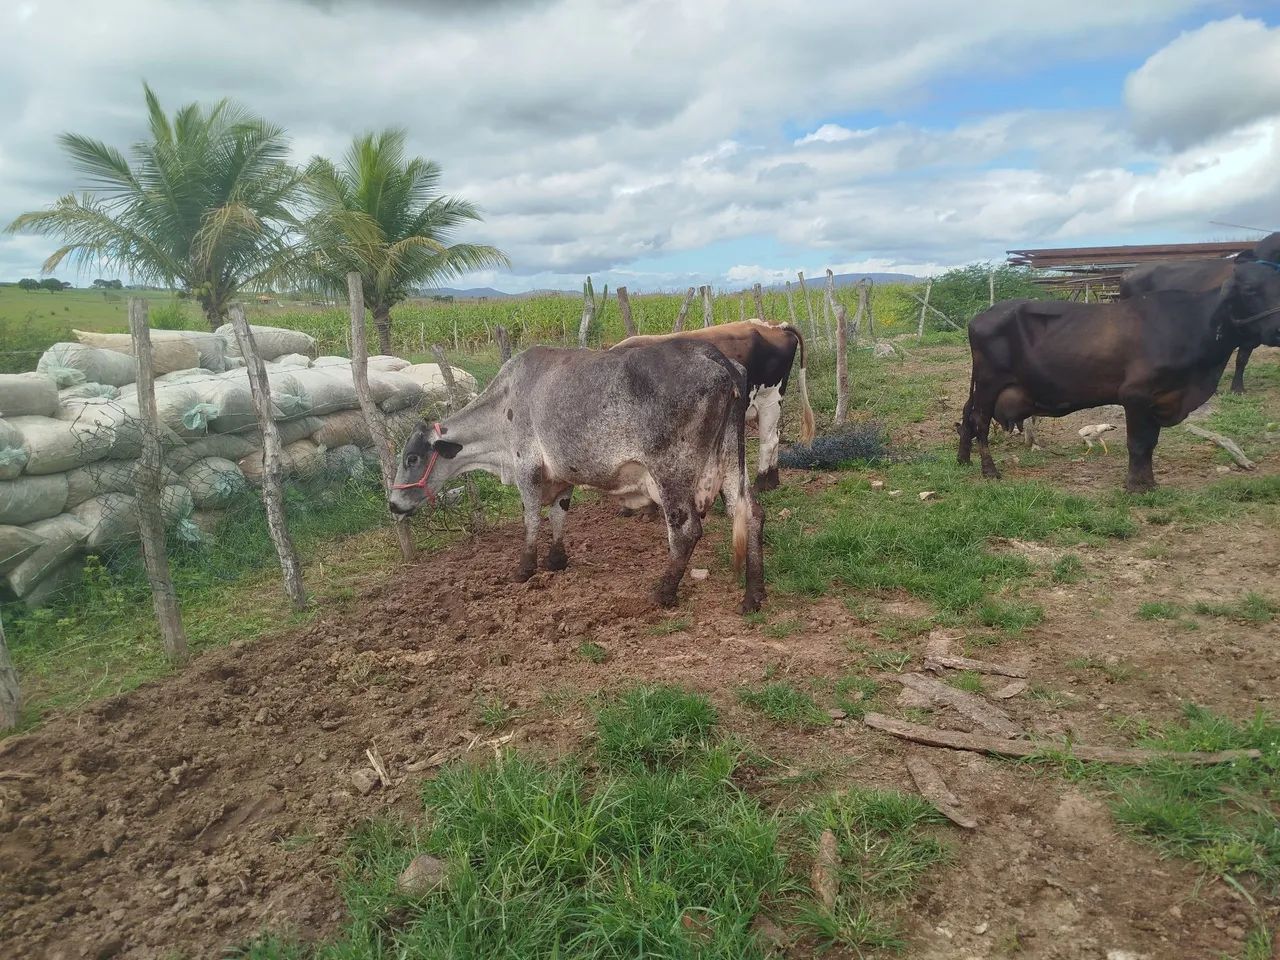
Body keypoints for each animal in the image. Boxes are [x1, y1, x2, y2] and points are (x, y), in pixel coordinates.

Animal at [388, 340, 766, 613]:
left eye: (411, 458)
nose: (393, 504)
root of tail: (718, 359)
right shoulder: (561, 475)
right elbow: (558, 514)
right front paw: (556, 560)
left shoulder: (526, 467)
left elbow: (530, 519)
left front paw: (524, 569)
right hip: (732, 463)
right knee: (752, 515)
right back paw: (753, 595)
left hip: (671, 473)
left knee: (686, 530)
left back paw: (663, 592)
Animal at [611, 319, 816, 491]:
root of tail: (773, 325)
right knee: (776, 435)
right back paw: (772, 481)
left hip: (769, 400)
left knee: (768, 441)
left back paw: (760, 484)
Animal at [957, 255, 1280, 492]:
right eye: (1249, 290)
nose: (1277, 330)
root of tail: (982, 316)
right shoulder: (1135, 395)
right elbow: (1137, 443)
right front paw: (1135, 486)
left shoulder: (1159, 399)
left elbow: (1150, 443)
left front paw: (1149, 483)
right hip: (988, 383)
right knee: (980, 421)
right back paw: (989, 470)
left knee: (967, 416)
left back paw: (963, 460)